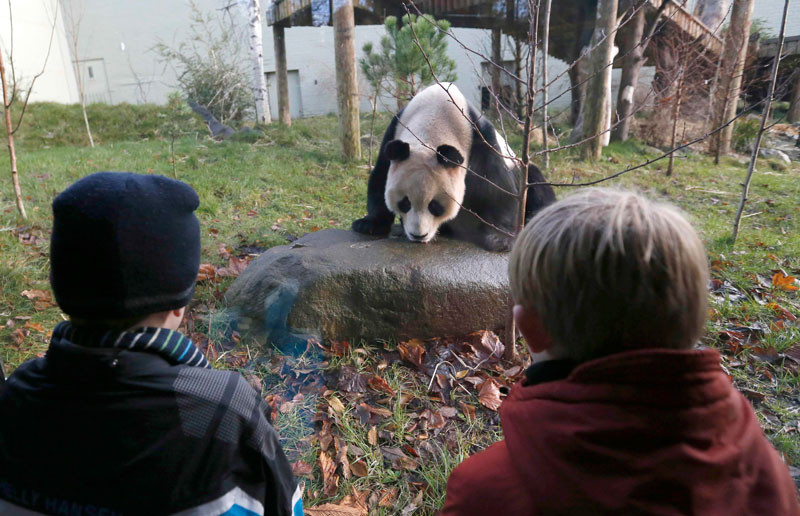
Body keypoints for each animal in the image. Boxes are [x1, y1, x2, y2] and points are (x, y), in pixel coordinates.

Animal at [354, 82, 552, 252]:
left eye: (435, 206)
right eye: (405, 203)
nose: (418, 235)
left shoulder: (479, 137)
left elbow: (496, 187)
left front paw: (500, 239)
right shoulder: (394, 132)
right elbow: (380, 177)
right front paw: (369, 224)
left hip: (519, 167)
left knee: (536, 184)